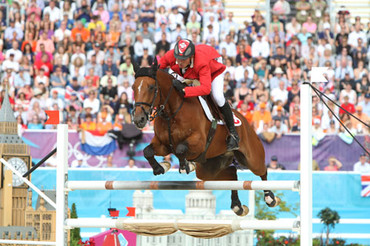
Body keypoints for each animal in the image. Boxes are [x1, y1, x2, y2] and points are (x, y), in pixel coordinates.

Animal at [132, 59, 278, 215]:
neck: (172, 113)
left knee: (262, 171)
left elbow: (180, 149)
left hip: (251, 158)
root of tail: (245, 121)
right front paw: (162, 167)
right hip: (209, 169)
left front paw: (185, 165)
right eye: (133, 87)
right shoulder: (163, 145)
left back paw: (270, 198)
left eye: (151, 87)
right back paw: (237, 206)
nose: (139, 119)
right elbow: (147, 151)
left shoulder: (198, 143)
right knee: (231, 173)